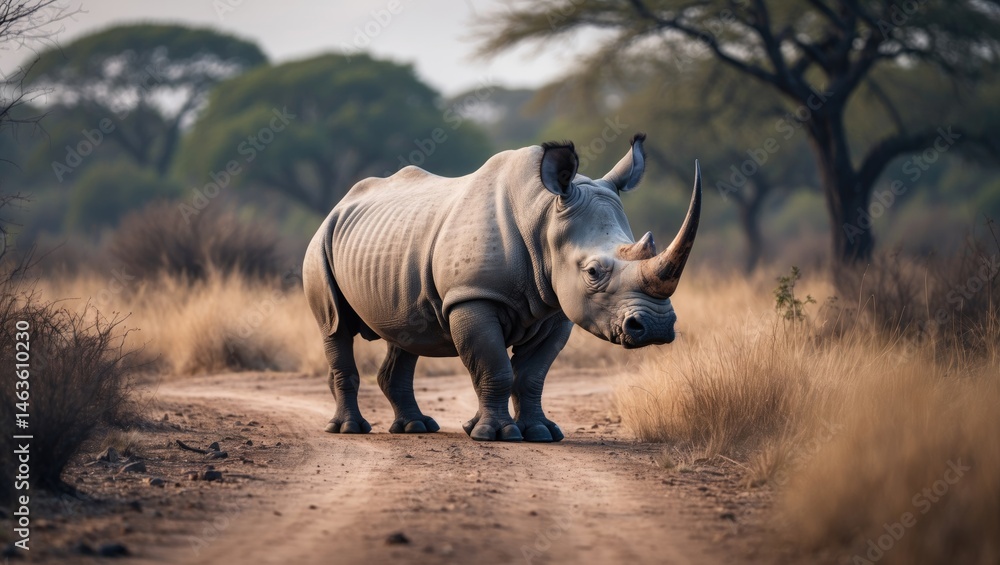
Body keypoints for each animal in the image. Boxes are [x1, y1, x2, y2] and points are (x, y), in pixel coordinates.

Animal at [303, 133, 701, 442]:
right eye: (592, 272)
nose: (658, 327)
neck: (543, 216)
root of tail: (340, 204)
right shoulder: (471, 296)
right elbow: (494, 366)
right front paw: (496, 435)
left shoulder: (556, 309)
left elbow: (531, 375)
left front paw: (540, 433)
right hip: (320, 243)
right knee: (335, 328)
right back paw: (349, 430)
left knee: (406, 332)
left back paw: (416, 427)